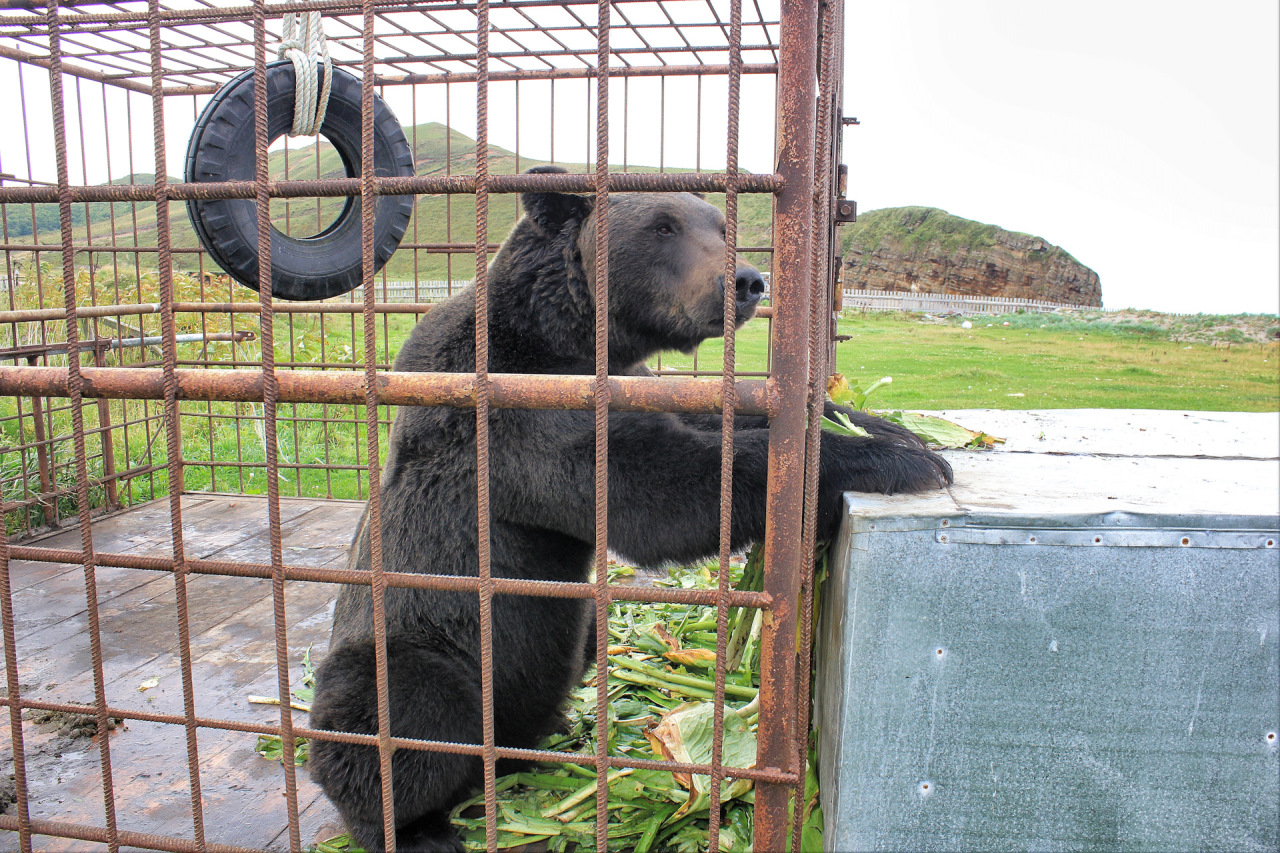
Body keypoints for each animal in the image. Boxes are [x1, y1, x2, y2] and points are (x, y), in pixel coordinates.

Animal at [307, 162, 952, 845]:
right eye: (662, 227)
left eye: (718, 224)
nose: (748, 281)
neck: (569, 338)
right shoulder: (512, 412)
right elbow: (658, 490)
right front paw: (893, 462)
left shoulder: (625, 385)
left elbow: (716, 422)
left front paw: (888, 428)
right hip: (423, 642)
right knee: (397, 716)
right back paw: (415, 826)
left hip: (570, 635)